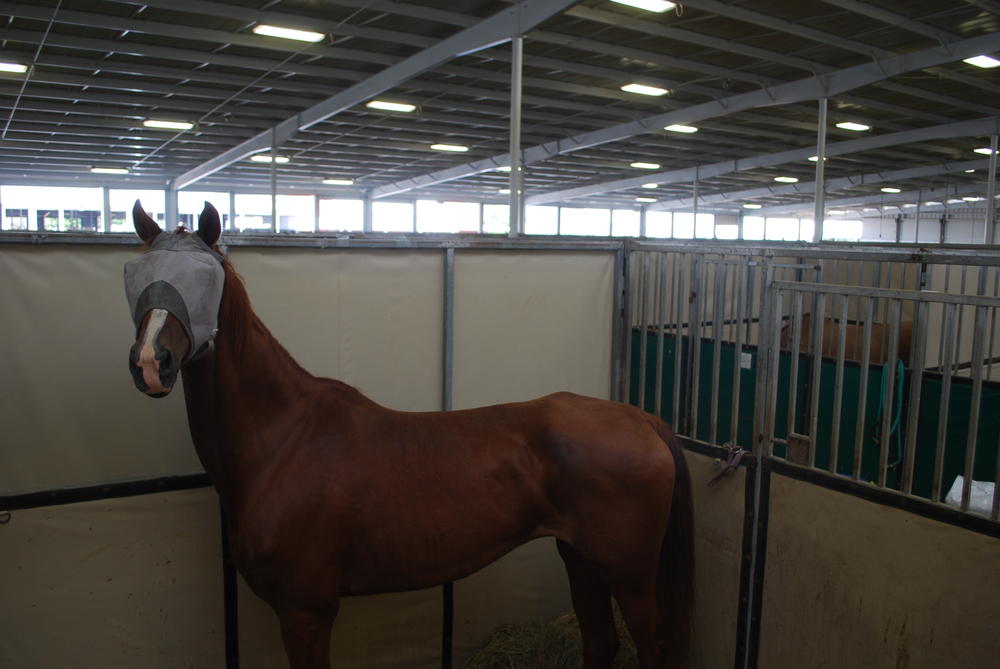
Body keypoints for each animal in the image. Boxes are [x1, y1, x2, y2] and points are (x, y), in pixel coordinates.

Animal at [119, 201, 696, 668]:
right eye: (133, 272)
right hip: (580, 559)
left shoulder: (305, 611)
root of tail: (642, 419)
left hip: (631, 575)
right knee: (600, 644)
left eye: (204, 278)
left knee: (651, 649)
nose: (151, 362)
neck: (284, 440)